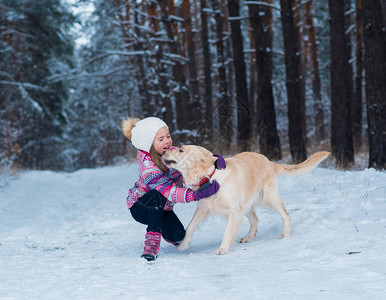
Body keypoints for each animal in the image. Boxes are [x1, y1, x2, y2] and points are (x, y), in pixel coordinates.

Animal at [163, 146, 328, 254]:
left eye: (181, 150)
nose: (163, 151)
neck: (211, 177)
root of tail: (268, 160)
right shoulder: (203, 208)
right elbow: (190, 227)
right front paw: (184, 245)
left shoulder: (234, 211)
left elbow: (227, 231)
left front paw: (223, 248)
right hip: (247, 205)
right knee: (255, 219)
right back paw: (248, 237)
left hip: (268, 198)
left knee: (285, 214)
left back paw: (285, 233)